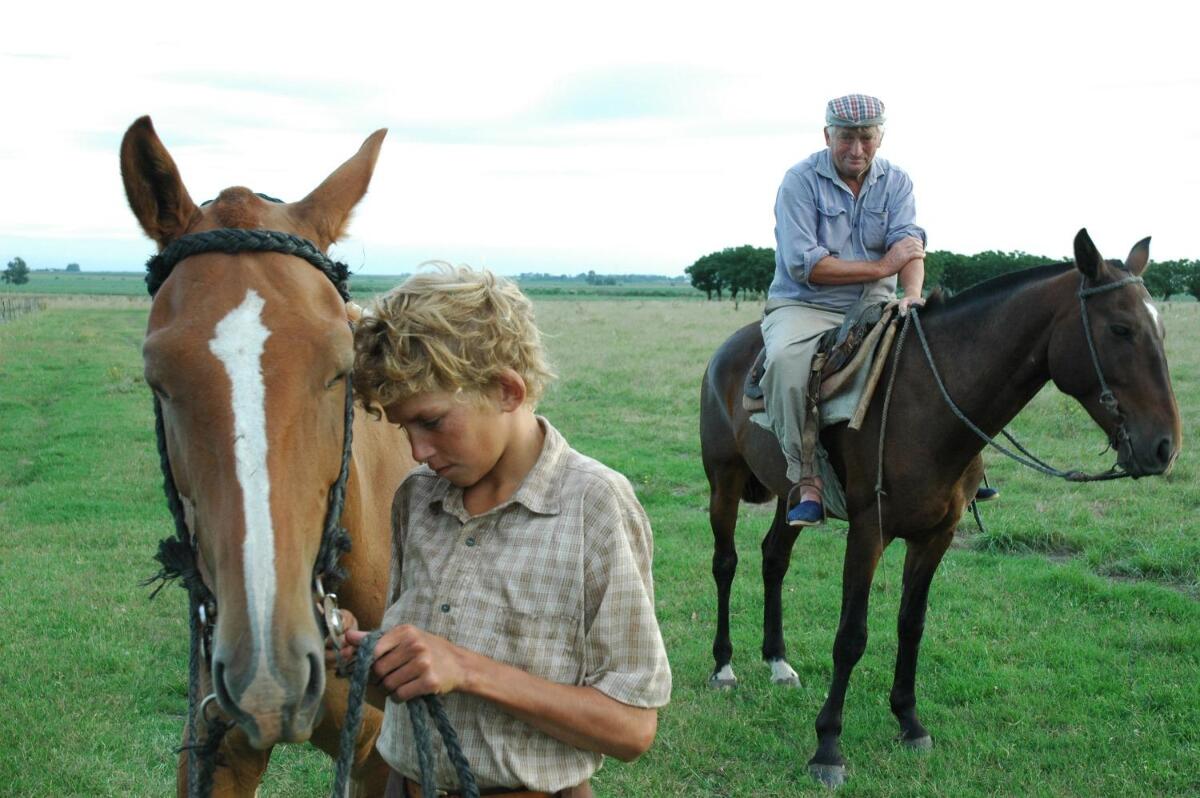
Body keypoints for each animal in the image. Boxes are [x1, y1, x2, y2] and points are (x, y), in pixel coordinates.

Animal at [700, 230, 1180, 782]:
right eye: (1121, 328)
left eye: (1160, 328)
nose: (1165, 447)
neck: (928, 401)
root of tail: (728, 351)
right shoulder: (868, 532)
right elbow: (851, 636)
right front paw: (828, 747)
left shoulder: (937, 535)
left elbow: (912, 625)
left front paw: (909, 722)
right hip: (723, 481)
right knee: (726, 562)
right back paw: (723, 666)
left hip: (792, 494)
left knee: (774, 557)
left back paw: (777, 662)